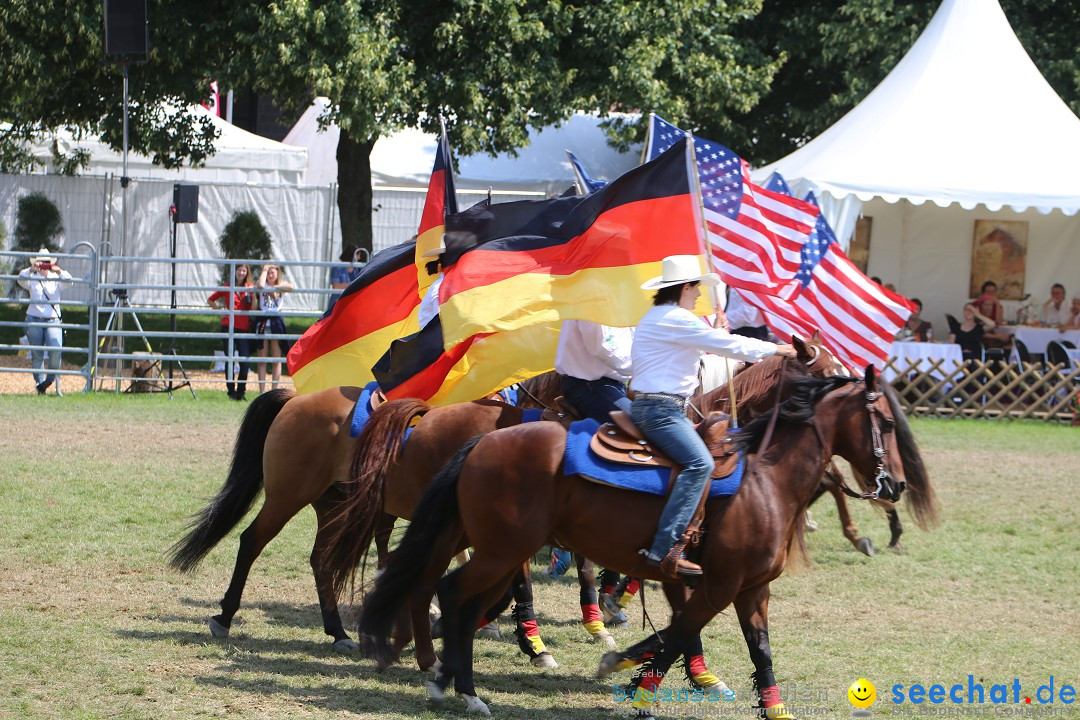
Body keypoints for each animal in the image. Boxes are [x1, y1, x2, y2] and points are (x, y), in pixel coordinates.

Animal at [168, 377, 561, 651]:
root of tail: (296, 399)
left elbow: (515, 584)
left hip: (333, 506)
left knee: (320, 560)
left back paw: (338, 631)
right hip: (287, 497)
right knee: (252, 541)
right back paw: (224, 617)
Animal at [358, 369, 933, 716]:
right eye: (885, 421)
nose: (897, 487)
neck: (766, 482)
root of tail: (483, 439)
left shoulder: (753, 591)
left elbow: (759, 649)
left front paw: (774, 708)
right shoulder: (719, 585)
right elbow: (677, 634)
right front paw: (630, 677)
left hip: (497, 551)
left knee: (453, 596)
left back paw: (451, 678)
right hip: (502, 551)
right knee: (453, 594)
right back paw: (462, 688)